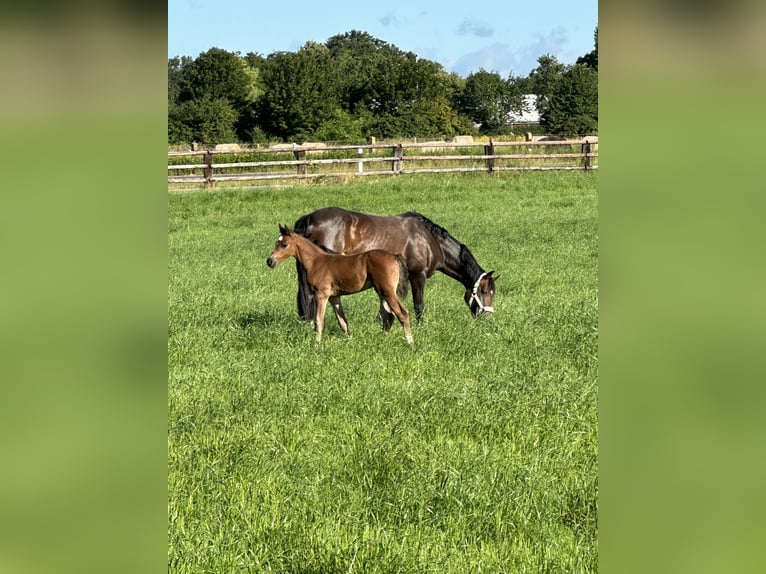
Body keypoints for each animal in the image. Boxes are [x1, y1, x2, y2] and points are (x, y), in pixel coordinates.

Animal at [268, 226, 414, 346]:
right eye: (276, 243)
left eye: (284, 244)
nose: (269, 261)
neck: (316, 262)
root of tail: (394, 256)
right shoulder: (334, 298)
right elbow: (343, 322)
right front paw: (350, 341)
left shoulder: (321, 295)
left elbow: (318, 321)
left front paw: (317, 345)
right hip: (382, 292)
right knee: (389, 316)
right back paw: (382, 340)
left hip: (387, 291)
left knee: (402, 313)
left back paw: (410, 343)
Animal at [292, 207, 498, 326]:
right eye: (484, 292)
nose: (488, 318)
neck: (430, 240)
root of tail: (309, 218)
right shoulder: (417, 276)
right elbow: (418, 305)